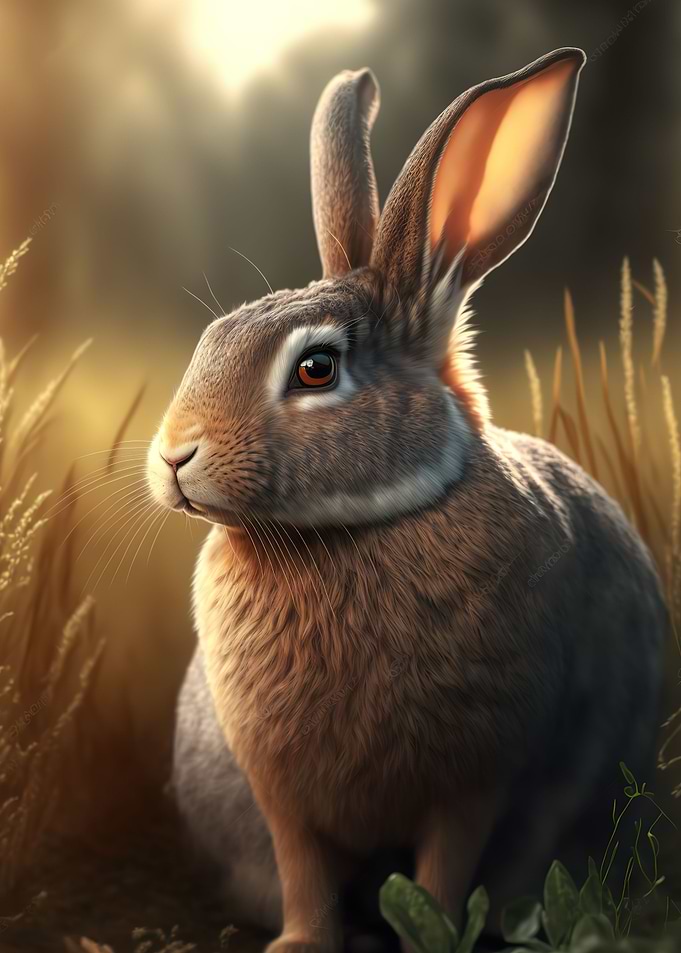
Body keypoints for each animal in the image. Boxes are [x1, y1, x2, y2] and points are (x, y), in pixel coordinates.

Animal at [148, 48, 667, 952]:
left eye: (315, 368)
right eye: (212, 338)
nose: (175, 455)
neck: (346, 532)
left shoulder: (475, 776)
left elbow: (442, 868)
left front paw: (428, 935)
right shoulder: (281, 794)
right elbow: (303, 869)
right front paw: (301, 943)